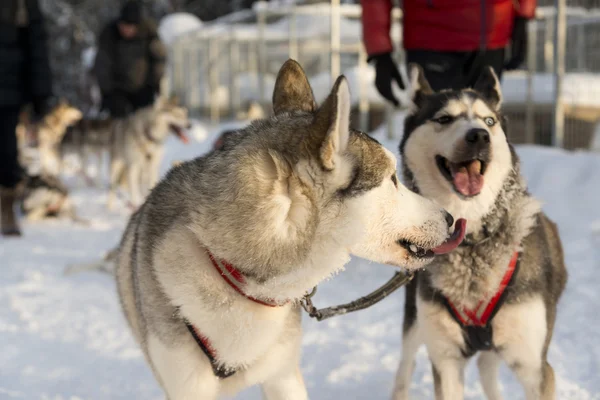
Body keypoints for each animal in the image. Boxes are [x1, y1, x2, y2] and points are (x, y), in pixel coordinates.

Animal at [392, 65, 568, 400]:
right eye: (444, 119)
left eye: (489, 121)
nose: (479, 136)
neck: (471, 240)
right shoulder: (445, 361)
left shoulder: (535, 368)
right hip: (414, 323)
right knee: (404, 369)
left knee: (488, 372)